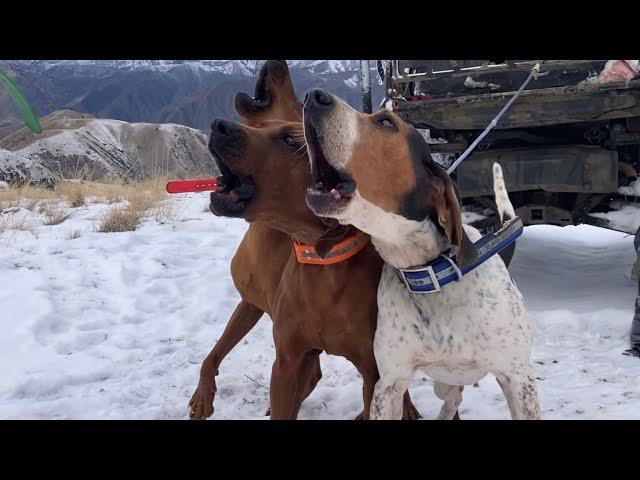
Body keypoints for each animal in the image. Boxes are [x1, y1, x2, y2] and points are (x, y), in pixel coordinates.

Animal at [304, 90, 540, 420]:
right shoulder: (389, 383)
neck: (432, 277)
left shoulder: (519, 380)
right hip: (444, 382)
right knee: (452, 398)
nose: (312, 96)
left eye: (386, 122)